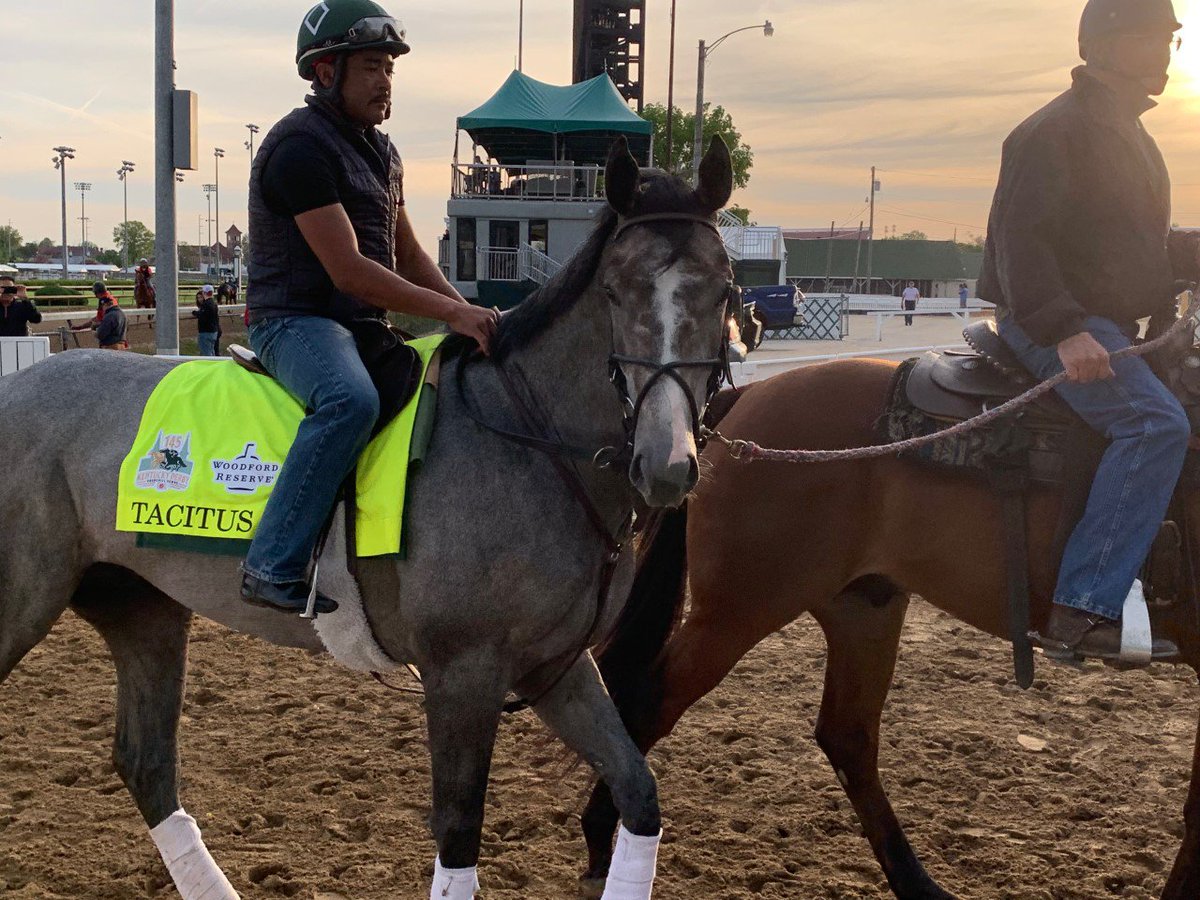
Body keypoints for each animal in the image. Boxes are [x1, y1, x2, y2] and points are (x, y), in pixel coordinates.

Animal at [0, 136, 735, 900]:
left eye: (726, 291)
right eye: (616, 292)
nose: (666, 462)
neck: (525, 439)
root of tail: (15, 384)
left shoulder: (554, 668)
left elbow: (637, 790)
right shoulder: (462, 673)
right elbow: (458, 834)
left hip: (142, 608)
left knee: (145, 763)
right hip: (22, 604)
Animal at [580, 356, 1200, 900]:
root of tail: (750, 398)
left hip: (864, 609)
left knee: (847, 736)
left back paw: (919, 884)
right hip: (736, 612)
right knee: (650, 701)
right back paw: (605, 841)